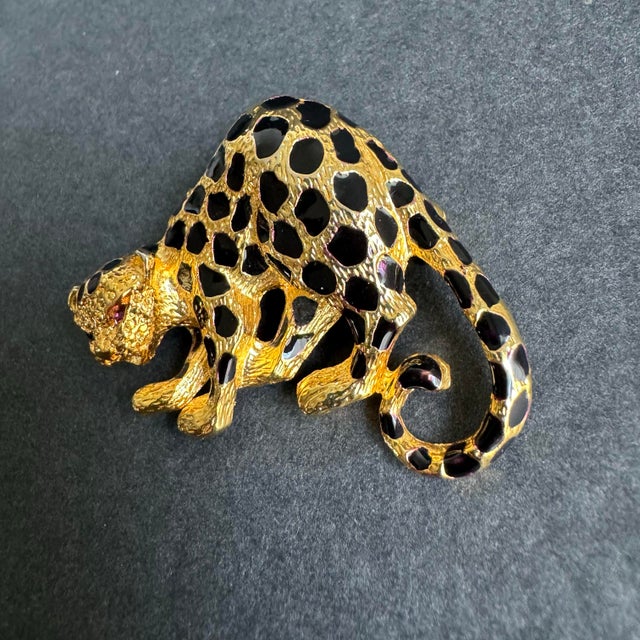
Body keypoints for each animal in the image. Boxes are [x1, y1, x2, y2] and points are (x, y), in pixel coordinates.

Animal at [68, 96, 532, 478]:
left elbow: (220, 366)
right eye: (88, 331)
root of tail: (395, 176)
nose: (101, 353)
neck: (175, 270)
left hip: (316, 247)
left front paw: (206, 416)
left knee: (391, 310)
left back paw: (335, 385)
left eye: (118, 311)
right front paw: (169, 393)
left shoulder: (224, 306)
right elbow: (195, 362)